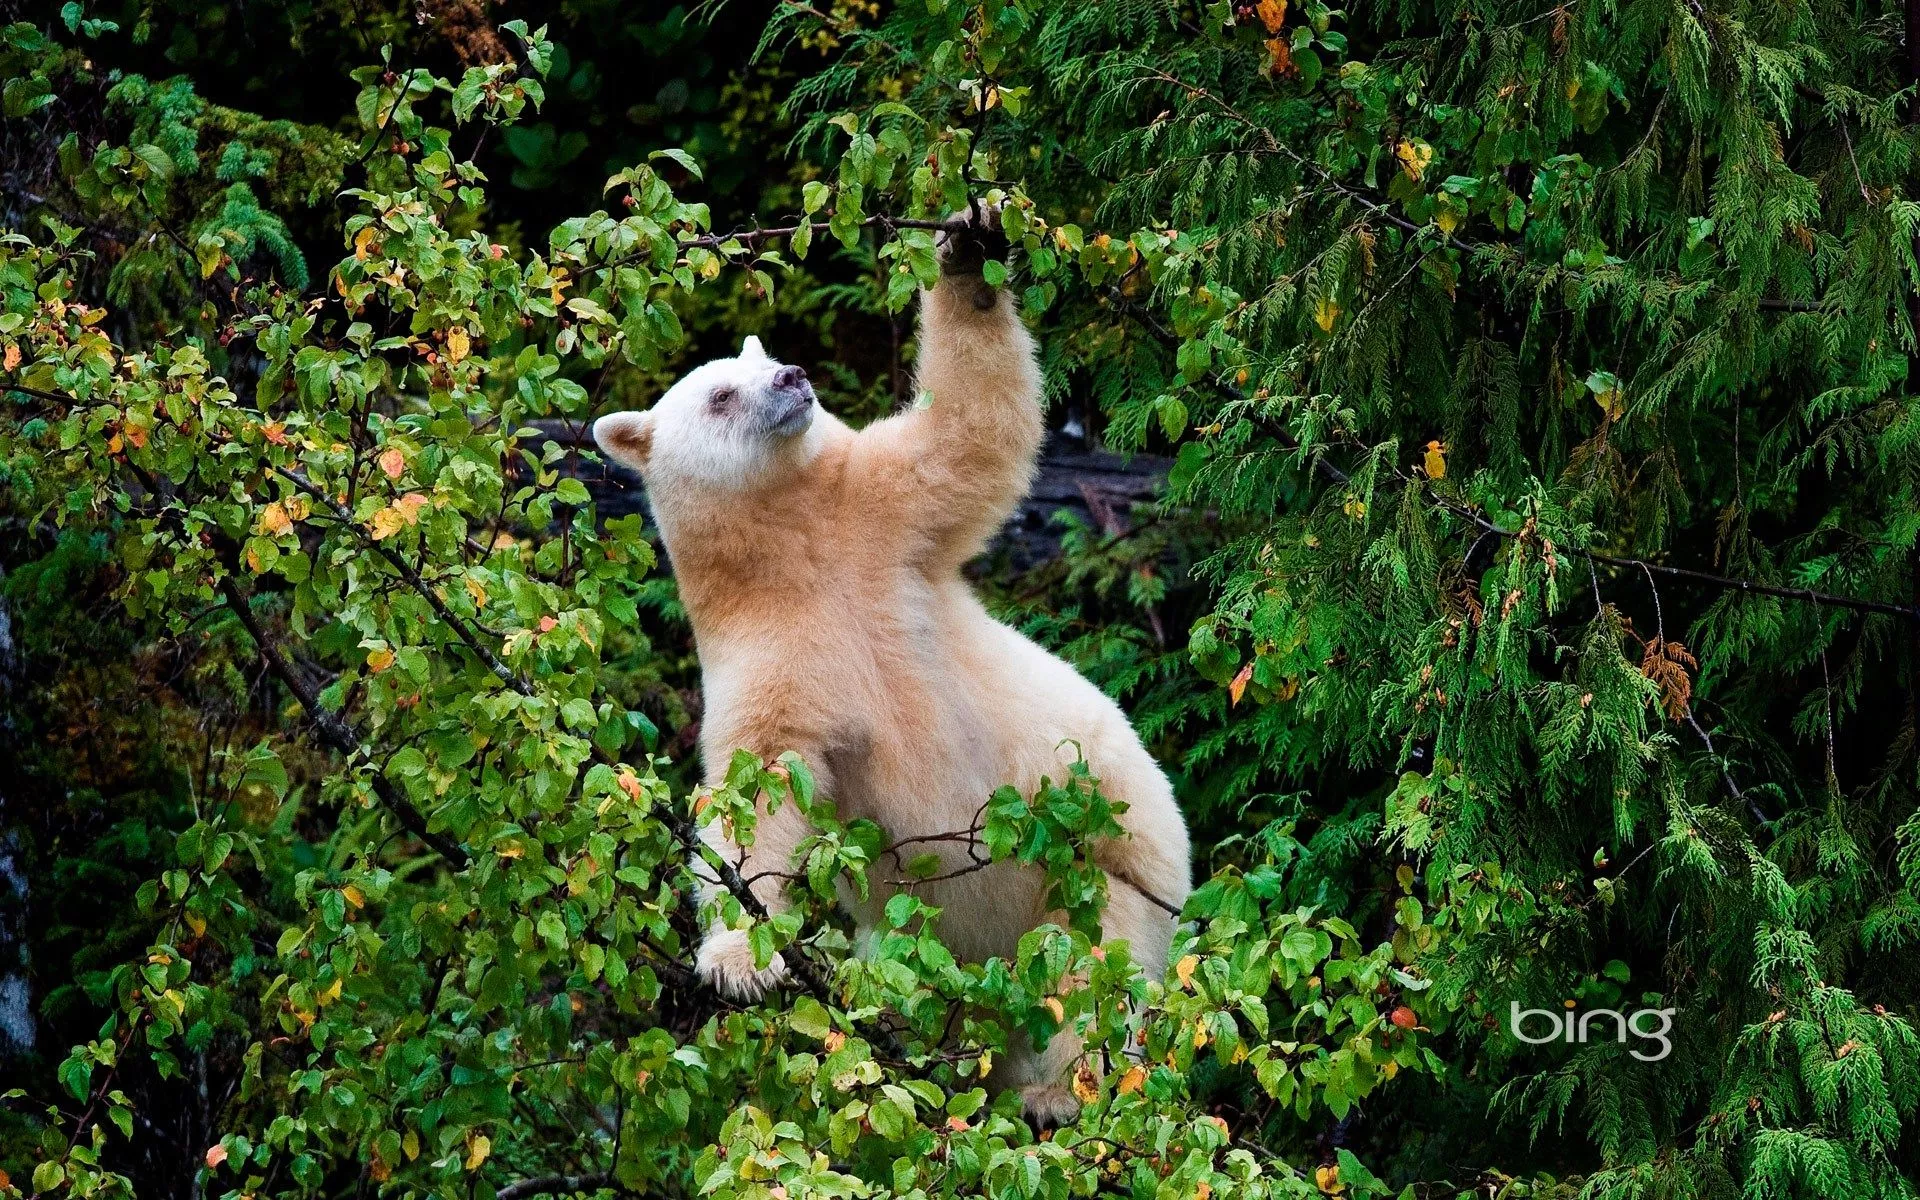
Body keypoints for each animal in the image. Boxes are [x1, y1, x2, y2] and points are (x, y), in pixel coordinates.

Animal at [591, 215, 1192, 1124]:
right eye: (720, 394)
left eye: (770, 359)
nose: (794, 378)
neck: (799, 545)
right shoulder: (764, 649)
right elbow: (757, 784)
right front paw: (740, 961)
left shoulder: (888, 523)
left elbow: (967, 438)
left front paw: (969, 250)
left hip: (1118, 860)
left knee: (1092, 967)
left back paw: (1058, 1092)